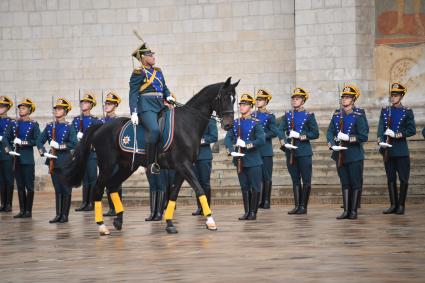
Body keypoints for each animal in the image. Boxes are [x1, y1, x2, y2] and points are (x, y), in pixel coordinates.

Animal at [65, 77, 238, 235]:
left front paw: (169, 223)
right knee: (98, 188)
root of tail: (101, 126)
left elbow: (173, 194)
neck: (187, 123)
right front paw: (210, 220)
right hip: (107, 166)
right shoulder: (183, 165)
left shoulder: (182, 167)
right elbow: (199, 189)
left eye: (234, 99)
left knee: (113, 186)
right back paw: (101, 226)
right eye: (223, 97)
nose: (228, 125)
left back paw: (118, 220)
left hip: (127, 166)